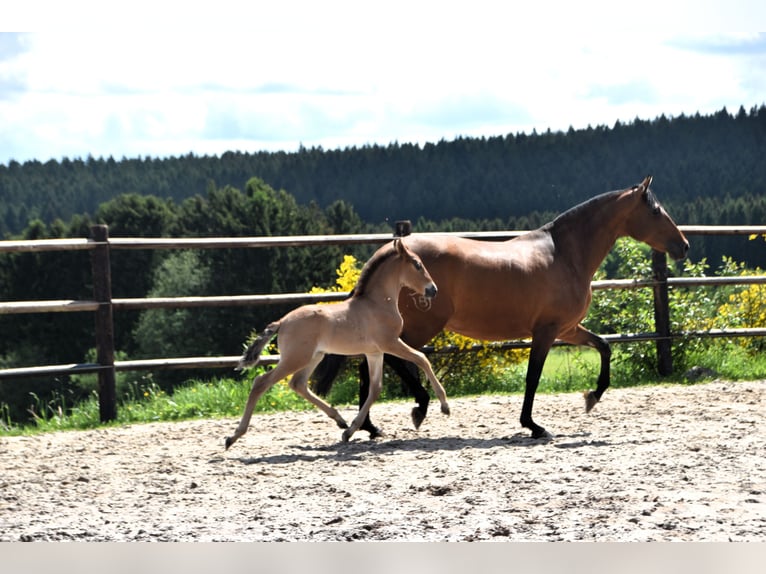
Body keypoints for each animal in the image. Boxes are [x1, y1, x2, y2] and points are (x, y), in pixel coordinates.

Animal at [222, 237, 450, 450]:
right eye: (417, 264)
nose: (433, 290)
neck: (376, 304)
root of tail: (282, 322)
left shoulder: (375, 352)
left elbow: (375, 388)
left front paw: (350, 431)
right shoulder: (391, 343)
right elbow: (422, 358)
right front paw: (445, 406)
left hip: (315, 356)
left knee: (298, 383)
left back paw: (340, 420)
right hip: (295, 358)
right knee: (261, 383)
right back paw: (232, 437)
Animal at [312, 176, 688, 440]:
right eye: (655, 211)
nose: (683, 245)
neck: (565, 255)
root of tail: (388, 252)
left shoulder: (567, 329)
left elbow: (605, 346)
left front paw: (591, 396)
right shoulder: (546, 331)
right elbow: (534, 376)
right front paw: (533, 425)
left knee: (372, 366)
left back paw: (369, 427)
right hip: (420, 327)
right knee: (393, 361)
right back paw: (417, 407)